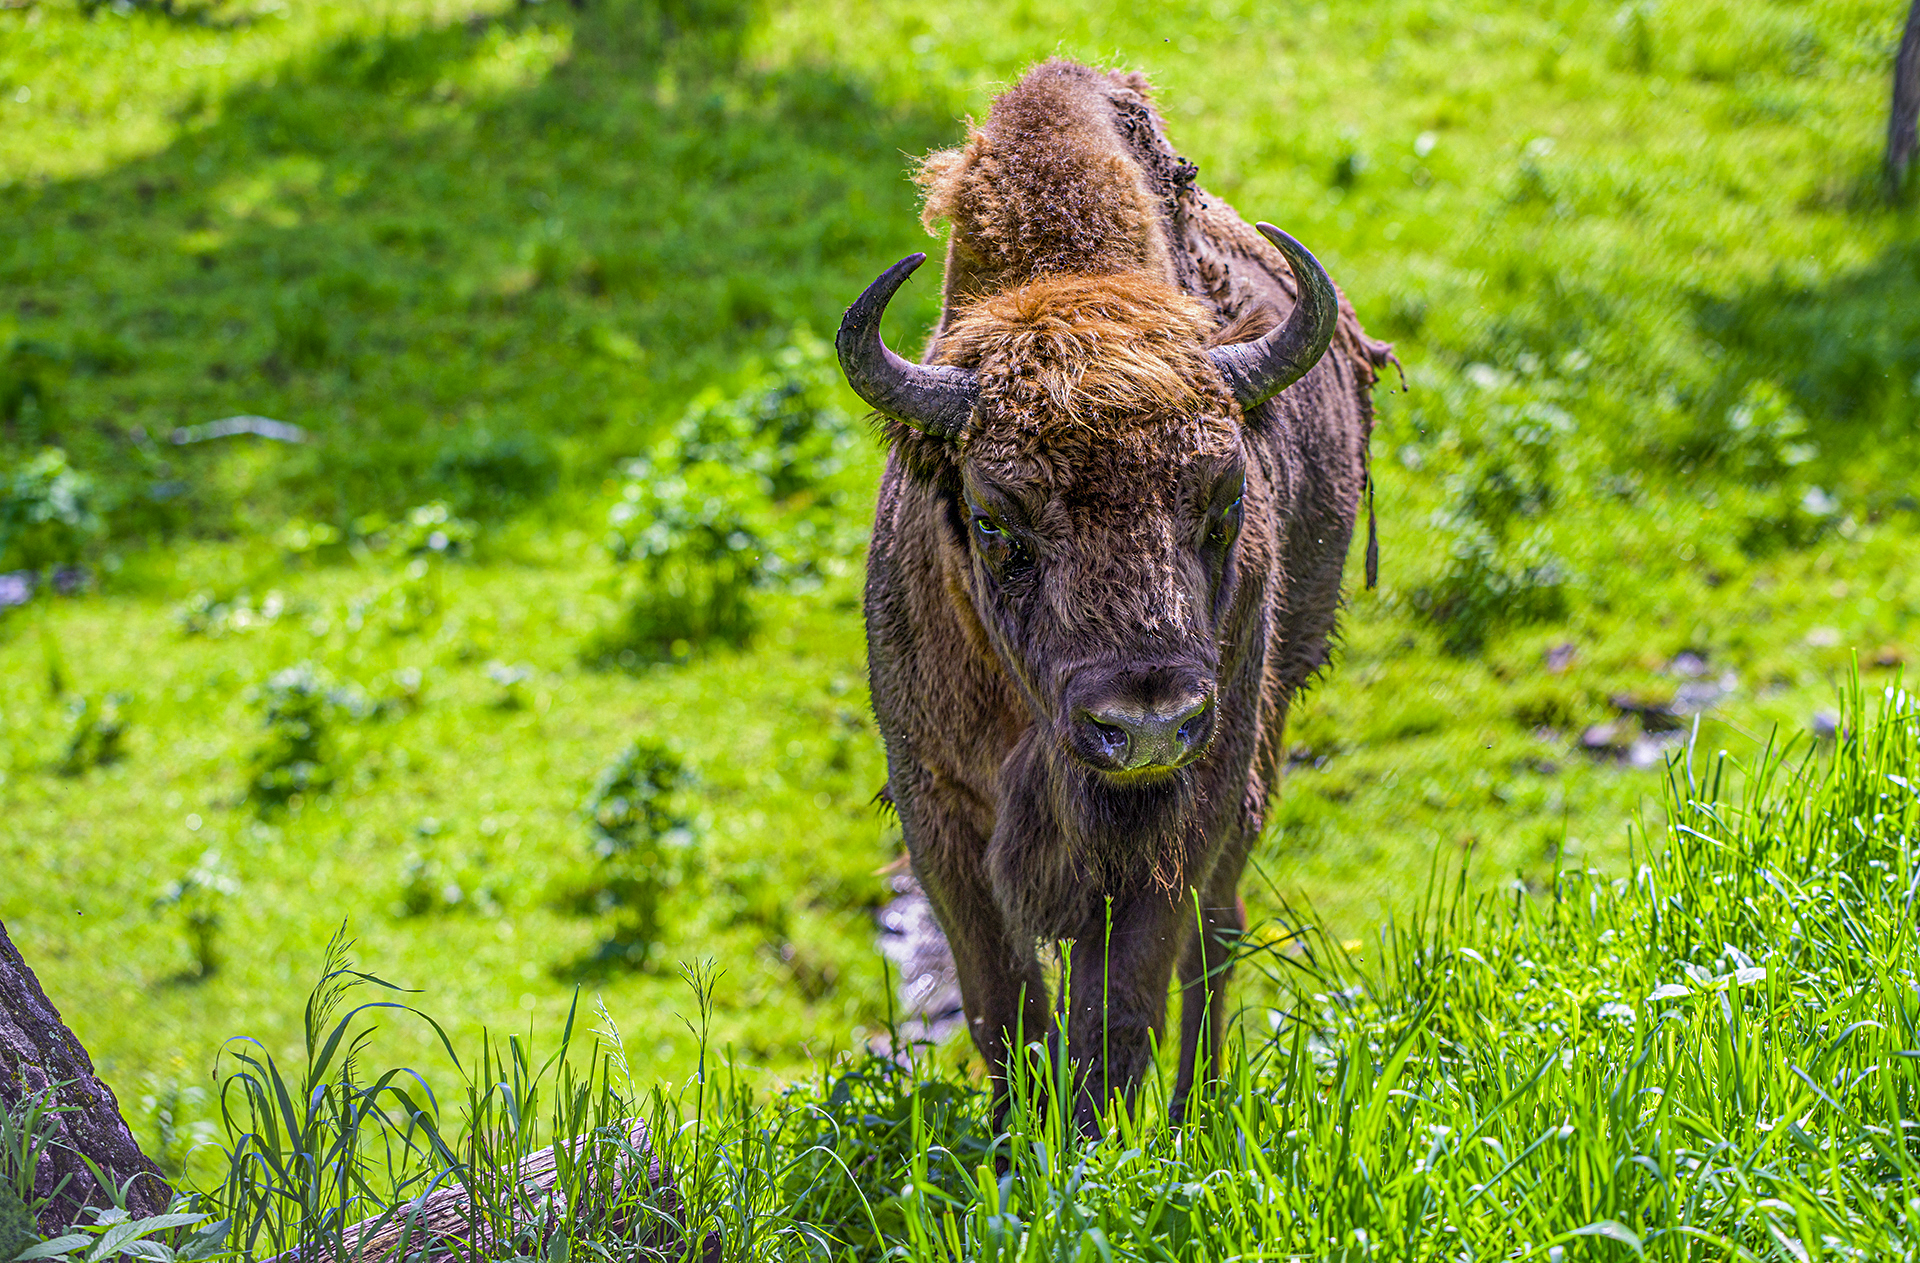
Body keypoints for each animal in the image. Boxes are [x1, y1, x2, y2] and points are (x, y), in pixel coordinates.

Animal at [833, 59, 1390, 1128]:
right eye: (996, 519)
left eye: (1225, 497)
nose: (1145, 723)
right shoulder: (940, 814)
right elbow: (1002, 1005)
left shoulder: (1181, 814)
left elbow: (1119, 1008)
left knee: (1218, 935)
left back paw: (1195, 1109)